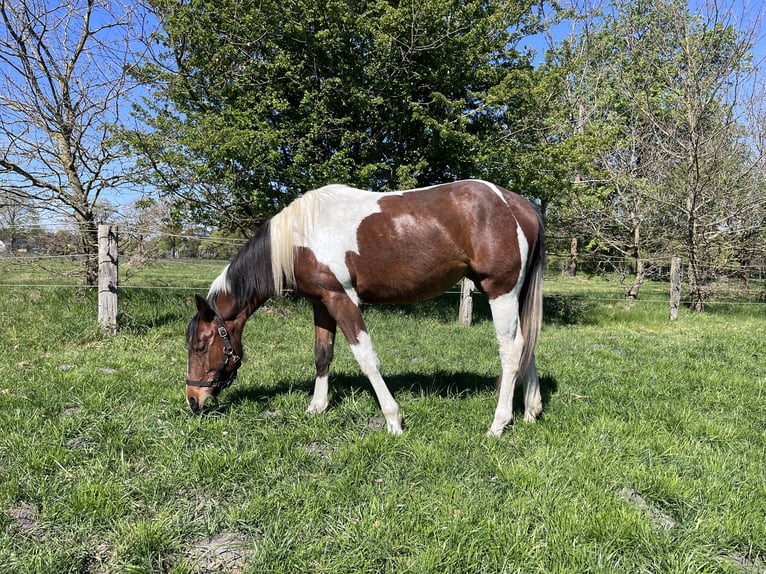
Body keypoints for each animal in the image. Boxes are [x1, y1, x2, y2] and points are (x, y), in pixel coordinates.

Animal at [186, 179, 545, 436]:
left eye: (200, 346)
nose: (193, 400)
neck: (299, 239)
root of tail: (517, 205)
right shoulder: (321, 302)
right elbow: (322, 354)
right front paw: (317, 407)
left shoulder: (342, 298)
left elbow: (366, 358)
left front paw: (393, 420)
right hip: (514, 294)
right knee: (527, 343)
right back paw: (531, 410)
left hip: (500, 290)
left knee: (511, 349)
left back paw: (498, 424)